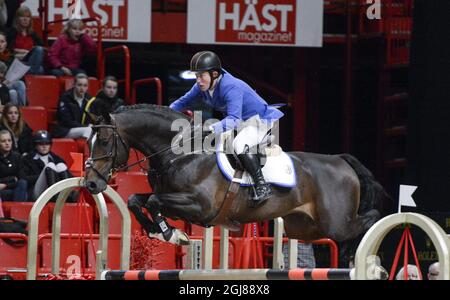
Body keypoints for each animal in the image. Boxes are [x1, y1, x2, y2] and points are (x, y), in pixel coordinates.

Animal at [85, 103, 390, 264]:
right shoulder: (170, 197)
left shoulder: (199, 206)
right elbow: (137, 200)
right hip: (307, 226)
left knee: (370, 218)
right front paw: (161, 232)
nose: (90, 184)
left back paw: (361, 257)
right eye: (89, 141)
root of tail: (340, 160)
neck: (180, 152)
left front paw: (172, 234)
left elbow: (152, 201)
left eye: (104, 141)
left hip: (336, 222)